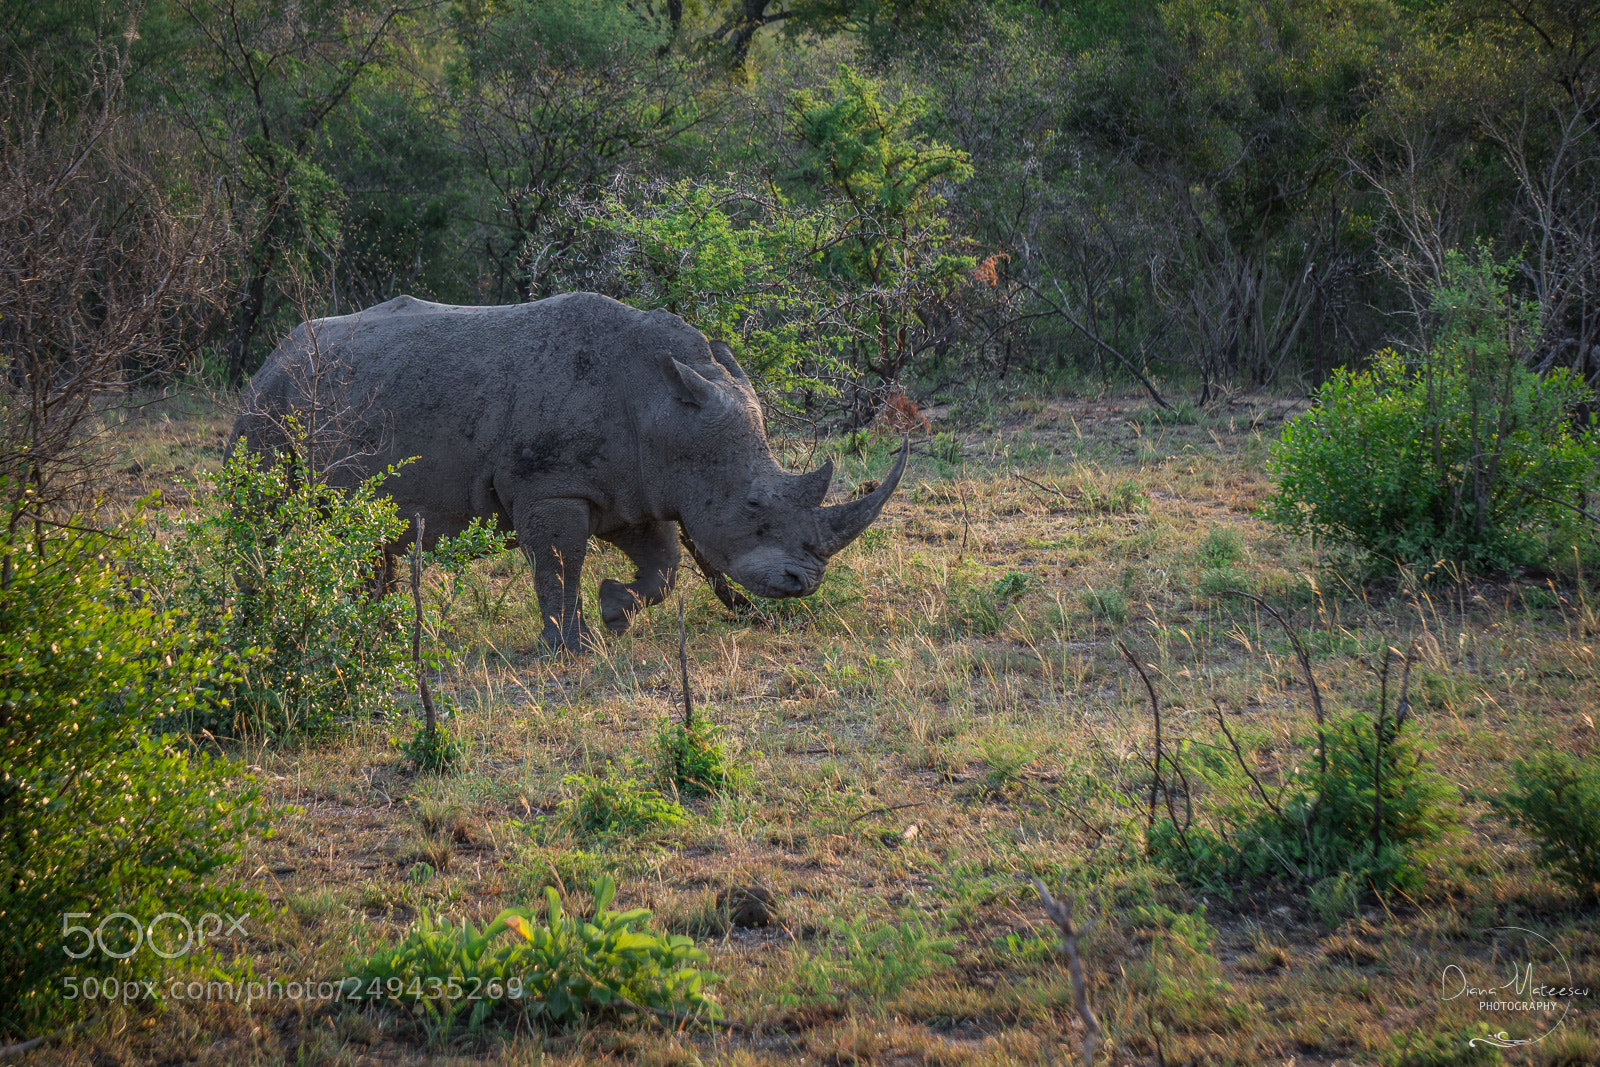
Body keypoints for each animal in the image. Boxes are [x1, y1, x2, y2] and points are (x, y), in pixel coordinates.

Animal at [229, 292, 906, 651]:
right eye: (754, 508)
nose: (804, 584)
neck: (661, 404)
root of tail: (276, 353)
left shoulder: (631, 487)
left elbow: (664, 564)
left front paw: (614, 612)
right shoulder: (550, 484)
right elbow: (560, 558)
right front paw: (567, 645)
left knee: (365, 534)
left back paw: (378, 635)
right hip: (270, 406)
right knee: (266, 518)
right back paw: (261, 628)